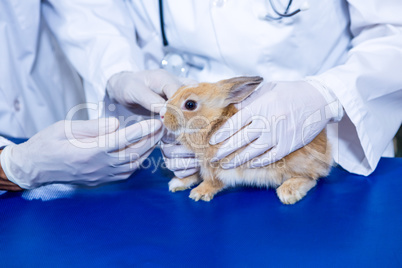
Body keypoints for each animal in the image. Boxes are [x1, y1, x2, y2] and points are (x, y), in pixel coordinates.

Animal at [160, 76, 332, 204]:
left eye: (190, 104)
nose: (162, 115)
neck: (212, 124)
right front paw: (178, 182)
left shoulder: (220, 165)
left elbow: (213, 181)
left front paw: (199, 193)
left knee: (312, 178)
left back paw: (288, 192)